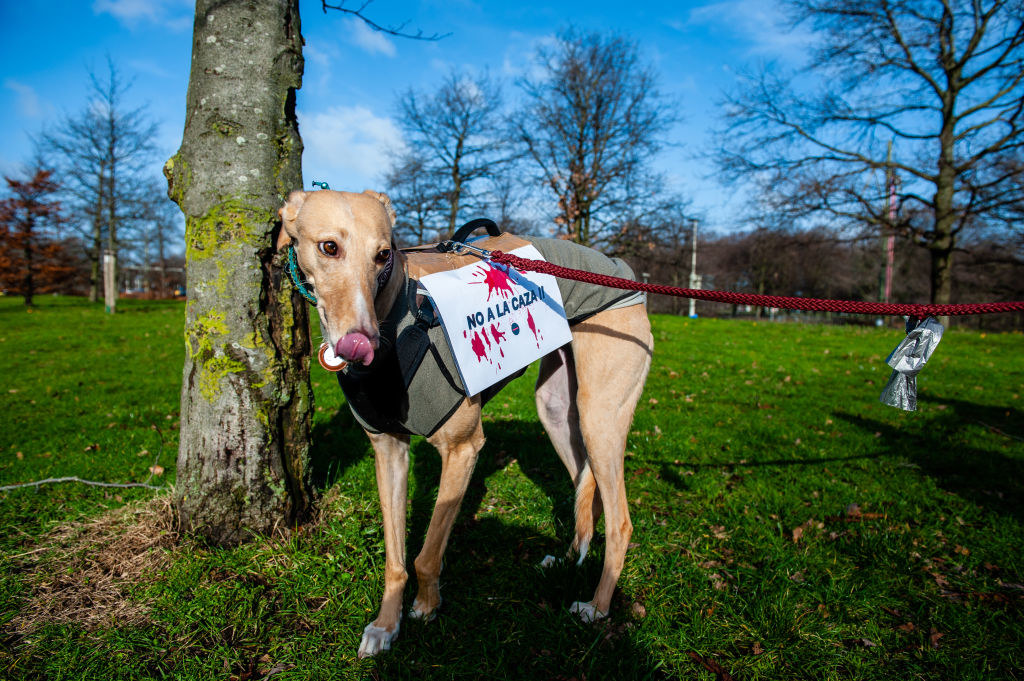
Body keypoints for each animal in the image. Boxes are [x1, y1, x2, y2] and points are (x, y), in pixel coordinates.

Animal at [276, 188, 651, 655]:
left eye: (383, 255)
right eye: (329, 247)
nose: (361, 343)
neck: (398, 313)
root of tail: (624, 272)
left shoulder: (463, 449)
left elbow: (427, 553)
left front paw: (426, 606)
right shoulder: (388, 451)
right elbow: (396, 558)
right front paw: (385, 625)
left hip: (600, 416)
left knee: (620, 522)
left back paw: (596, 608)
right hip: (558, 411)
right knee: (587, 488)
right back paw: (567, 559)